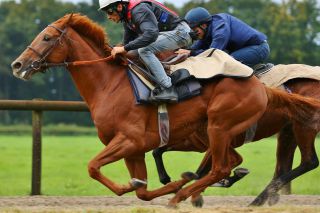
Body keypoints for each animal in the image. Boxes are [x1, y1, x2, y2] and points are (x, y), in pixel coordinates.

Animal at [9, 14, 320, 207]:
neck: (110, 84)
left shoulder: (130, 140)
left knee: (230, 166)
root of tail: (261, 88)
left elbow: (93, 167)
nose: (17, 64)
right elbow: (142, 190)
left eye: (47, 37)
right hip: (275, 131)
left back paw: (187, 197)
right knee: (265, 165)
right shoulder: (135, 149)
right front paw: (167, 183)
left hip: (224, 127)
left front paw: (177, 187)